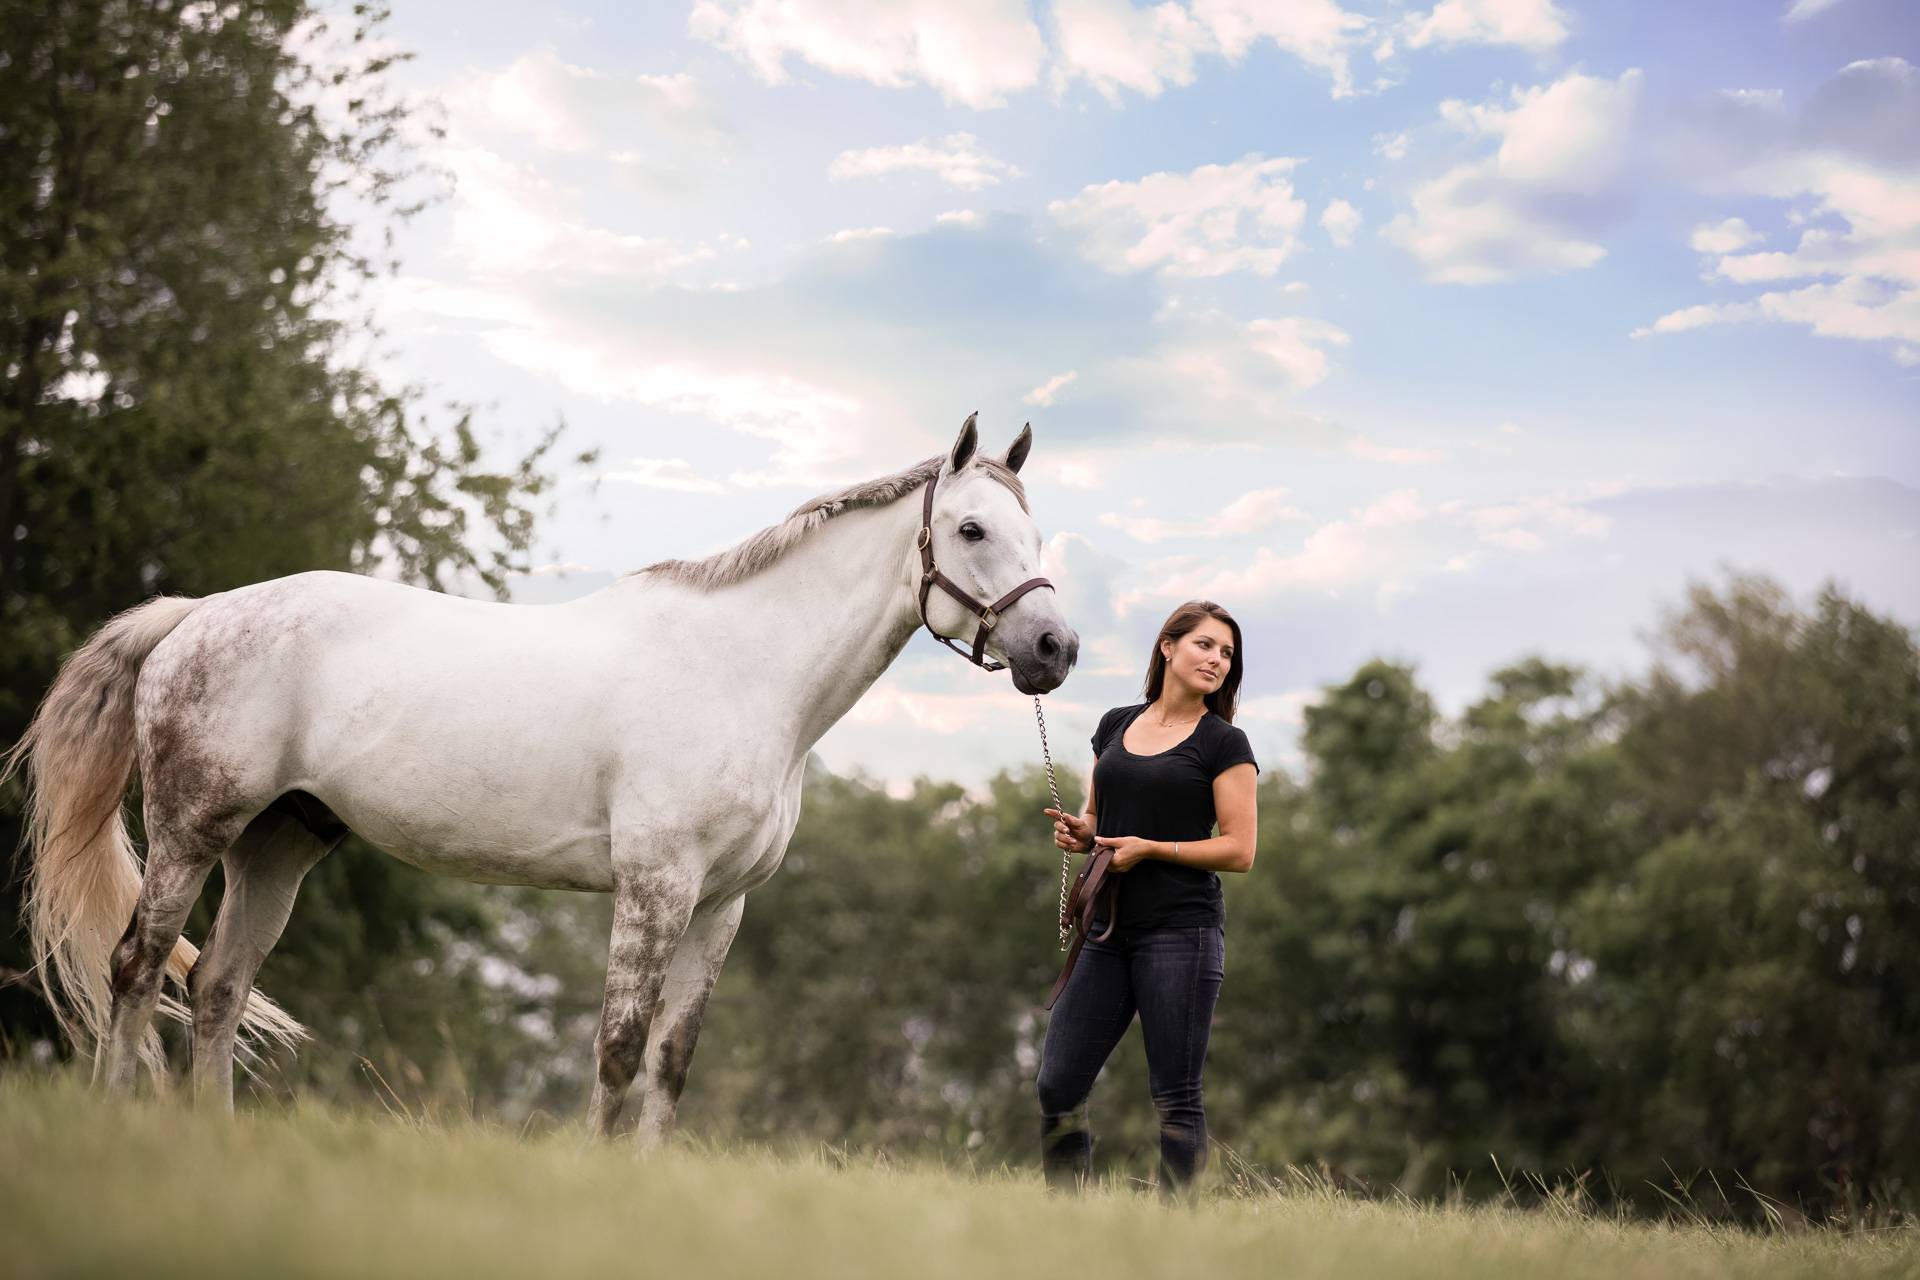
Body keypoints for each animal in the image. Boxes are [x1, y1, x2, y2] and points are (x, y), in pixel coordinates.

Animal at [3, 412, 1082, 1143]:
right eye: (973, 531)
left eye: (1036, 534)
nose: (1056, 648)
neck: (742, 671)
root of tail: (194, 614)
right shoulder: (655, 887)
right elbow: (619, 1043)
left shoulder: (721, 904)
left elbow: (672, 1058)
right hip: (193, 830)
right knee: (139, 966)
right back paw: (122, 1119)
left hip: (279, 845)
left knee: (219, 987)